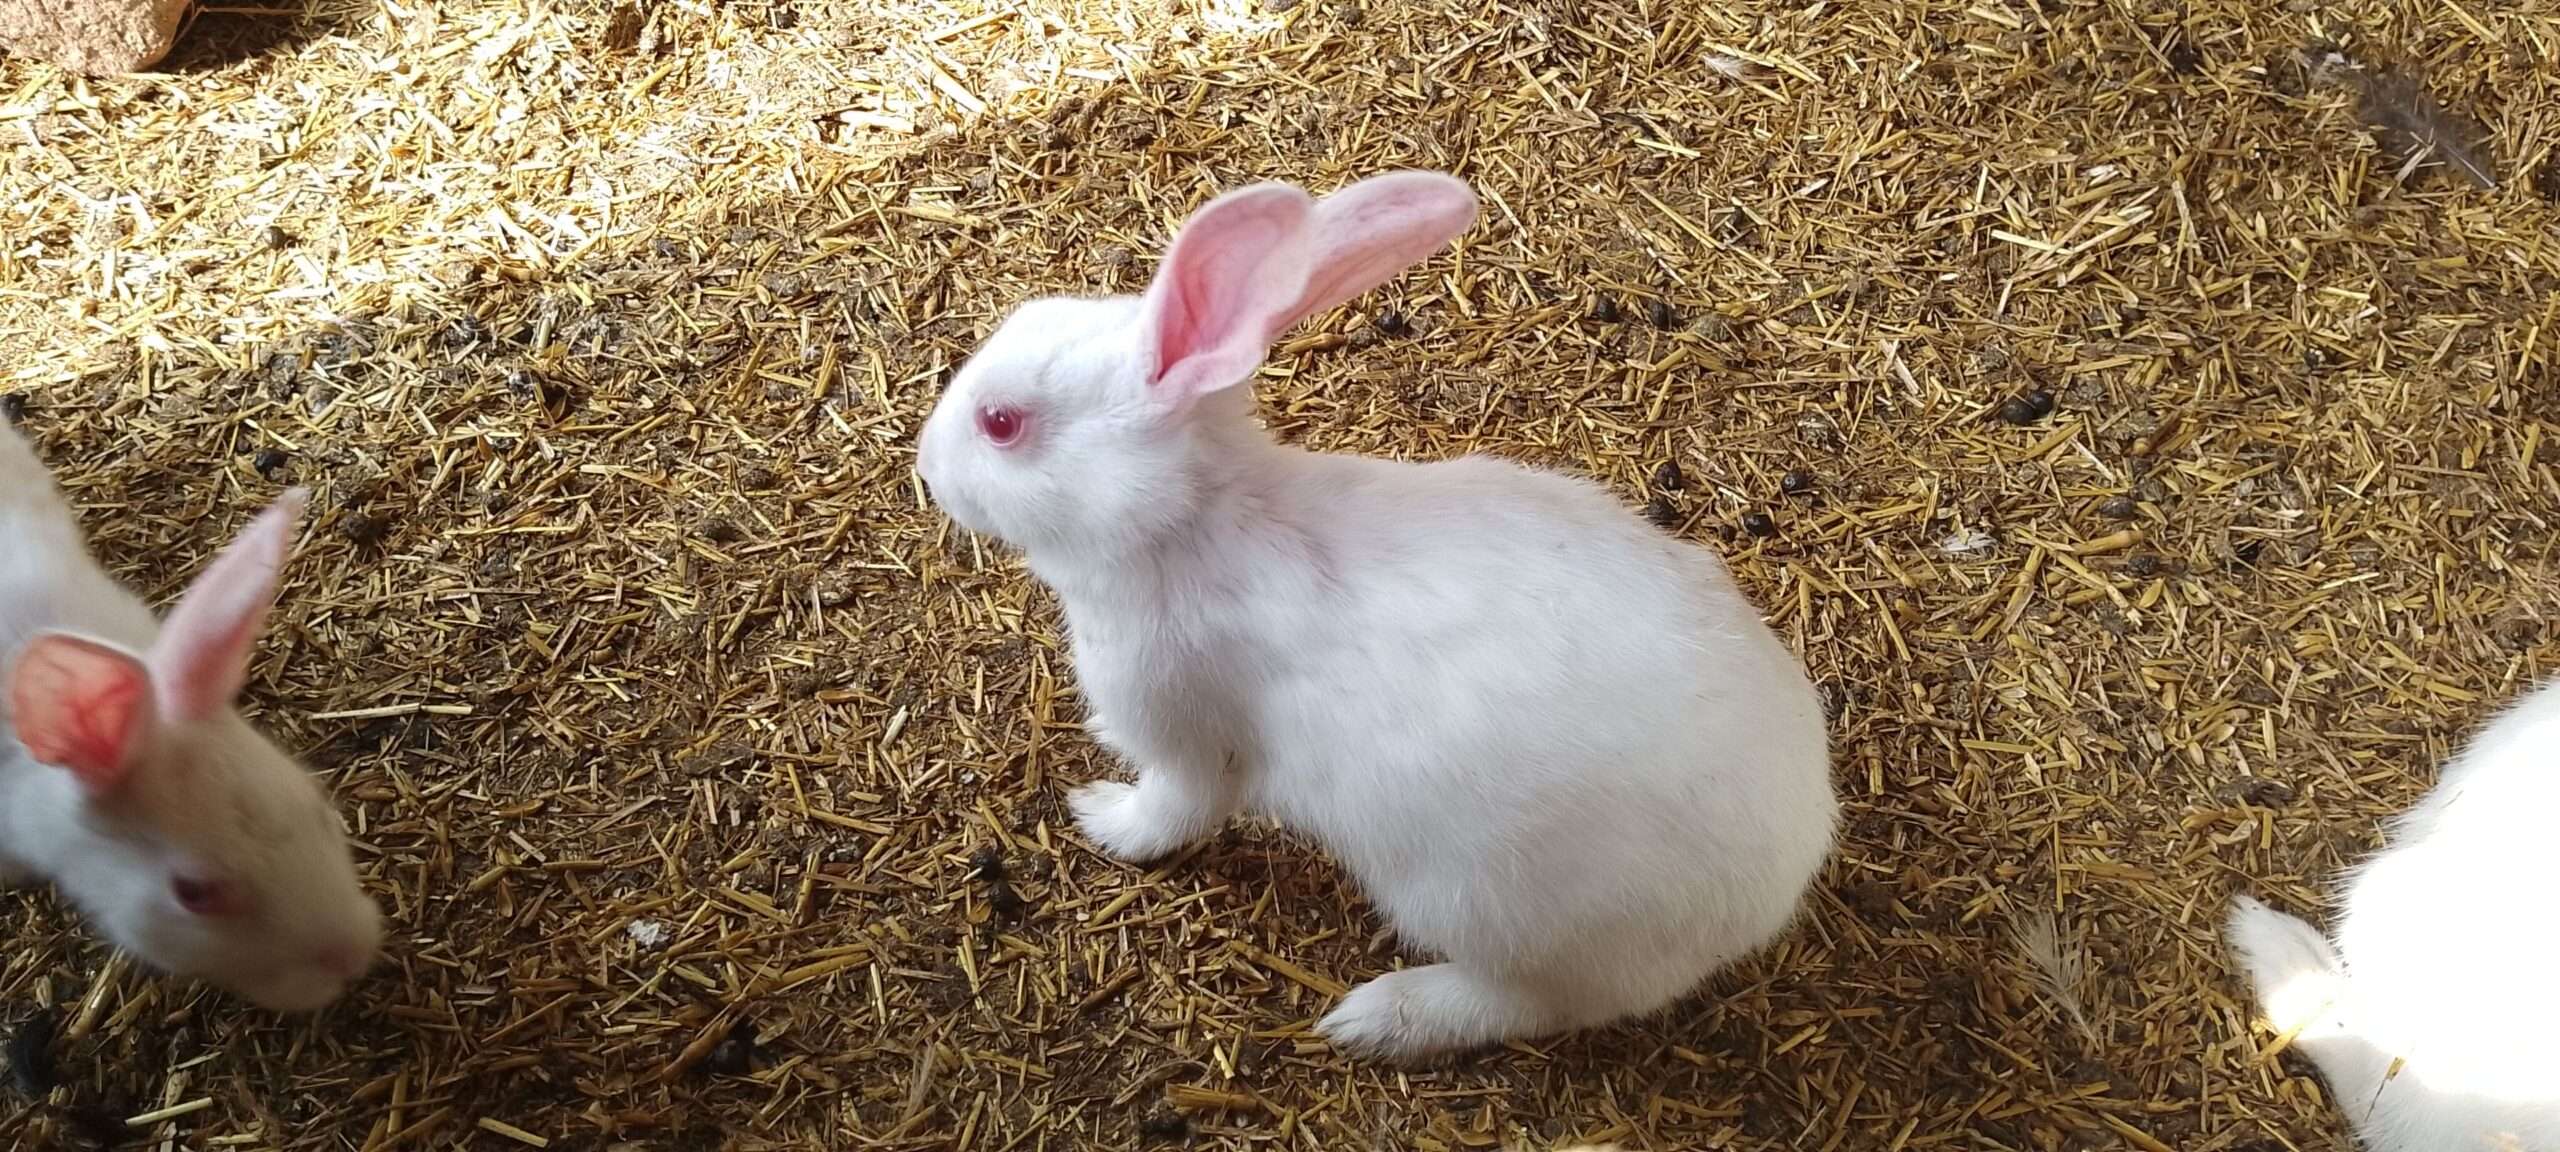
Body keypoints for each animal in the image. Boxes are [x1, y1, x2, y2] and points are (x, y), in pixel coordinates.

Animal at [915, 171, 1838, 1062]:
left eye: (1000, 424)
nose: (926, 465)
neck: (1194, 521)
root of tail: (1774, 886)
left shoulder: (1187, 738)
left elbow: (1173, 812)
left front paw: (1102, 817)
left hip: (1481, 904)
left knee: (1534, 1003)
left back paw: (1384, 1019)